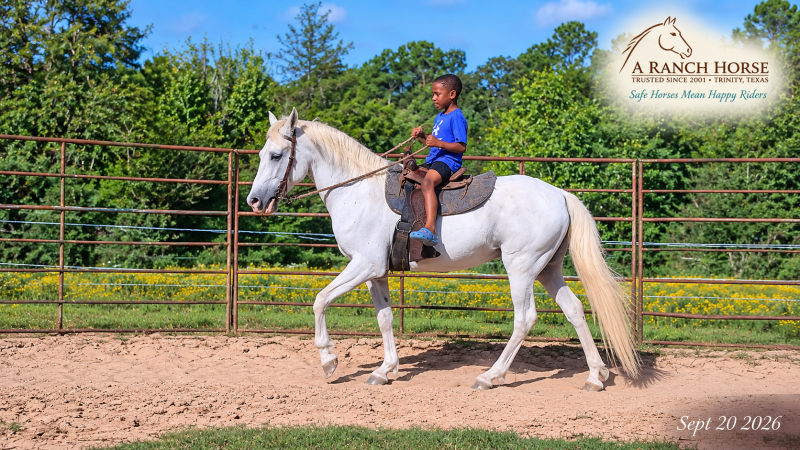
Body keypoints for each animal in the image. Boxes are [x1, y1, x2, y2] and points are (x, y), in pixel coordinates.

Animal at [247, 108, 640, 391]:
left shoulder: (363, 265)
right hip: (548, 268)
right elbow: (384, 318)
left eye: (277, 155)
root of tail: (559, 193)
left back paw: (490, 377)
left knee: (525, 318)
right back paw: (595, 376)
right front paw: (384, 370)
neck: (358, 191)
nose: (254, 201)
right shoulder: (376, 272)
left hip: (522, 268)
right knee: (574, 311)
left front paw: (329, 360)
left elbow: (320, 300)